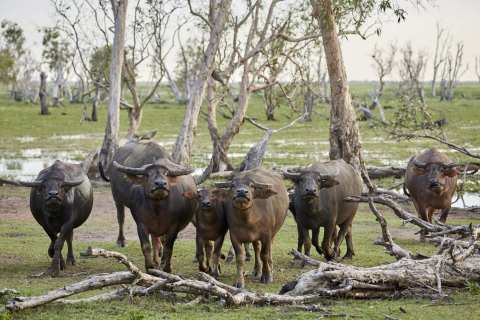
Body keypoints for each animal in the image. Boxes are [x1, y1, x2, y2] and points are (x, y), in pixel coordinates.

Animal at [102, 141, 197, 272]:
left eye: (166, 174)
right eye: (147, 174)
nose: (160, 184)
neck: (158, 208)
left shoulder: (173, 226)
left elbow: (168, 247)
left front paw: (166, 268)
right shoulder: (141, 224)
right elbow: (146, 246)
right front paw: (150, 267)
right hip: (117, 198)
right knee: (121, 218)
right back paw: (121, 241)